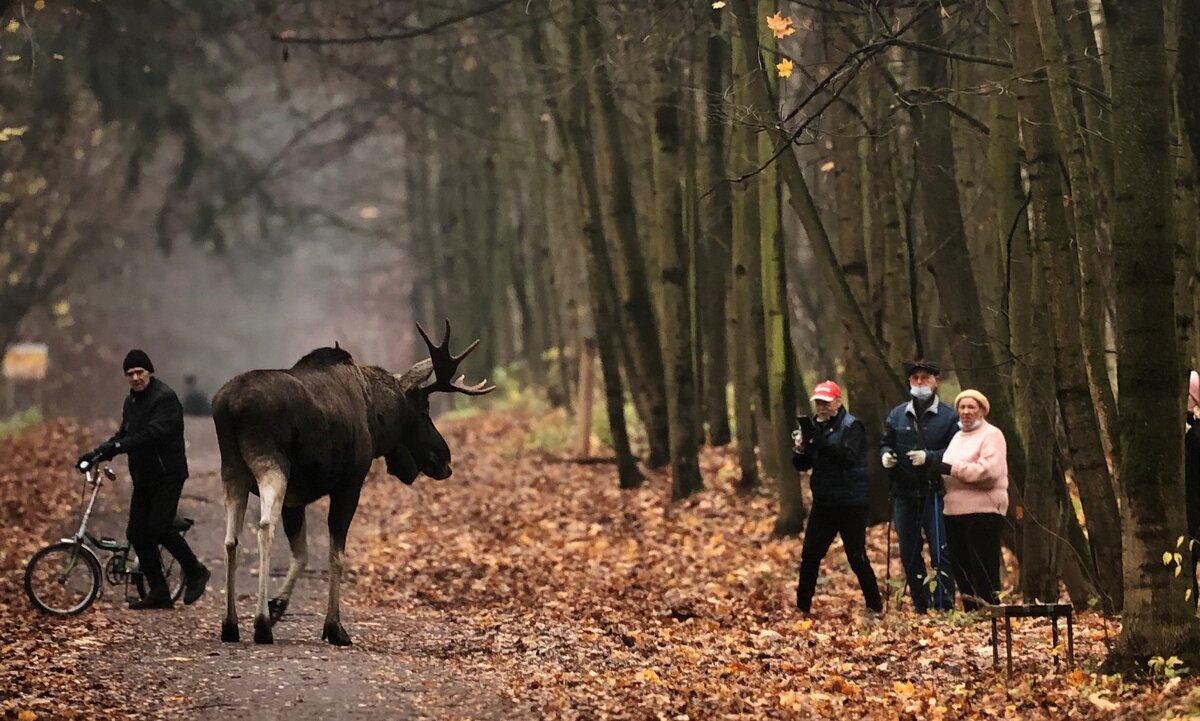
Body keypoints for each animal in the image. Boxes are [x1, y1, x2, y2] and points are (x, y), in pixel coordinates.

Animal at [212, 321, 492, 643]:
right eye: (423, 410)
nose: (444, 458)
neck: (375, 417)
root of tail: (229, 407)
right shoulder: (349, 485)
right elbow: (335, 554)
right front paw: (334, 627)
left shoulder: (296, 498)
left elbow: (302, 554)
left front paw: (277, 606)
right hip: (272, 463)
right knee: (264, 527)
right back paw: (260, 625)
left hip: (232, 469)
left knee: (230, 539)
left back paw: (231, 624)